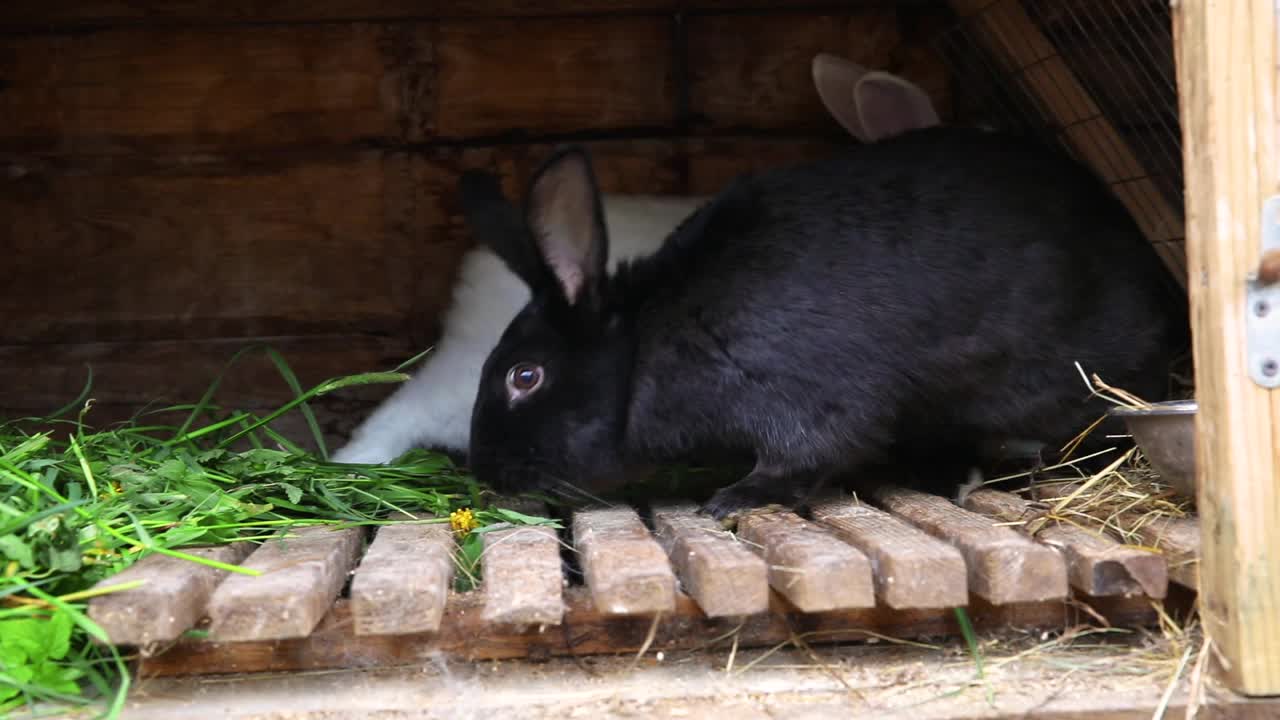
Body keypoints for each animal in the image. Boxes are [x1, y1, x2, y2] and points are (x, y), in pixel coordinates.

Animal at [458, 126, 1187, 512]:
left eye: (525, 377)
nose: (487, 473)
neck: (643, 346)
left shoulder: (797, 395)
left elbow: (804, 454)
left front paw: (734, 498)